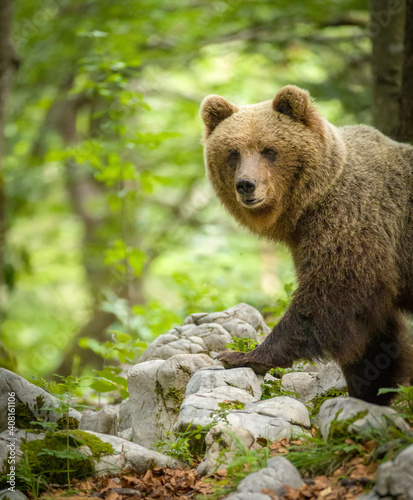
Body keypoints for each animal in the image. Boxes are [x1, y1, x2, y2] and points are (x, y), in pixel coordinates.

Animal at [201, 84, 412, 406]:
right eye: (232, 153)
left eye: (269, 150)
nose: (246, 185)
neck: (308, 205)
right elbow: (375, 334)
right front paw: (369, 391)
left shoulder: (352, 221)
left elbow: (330, 294)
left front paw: (241, 355)